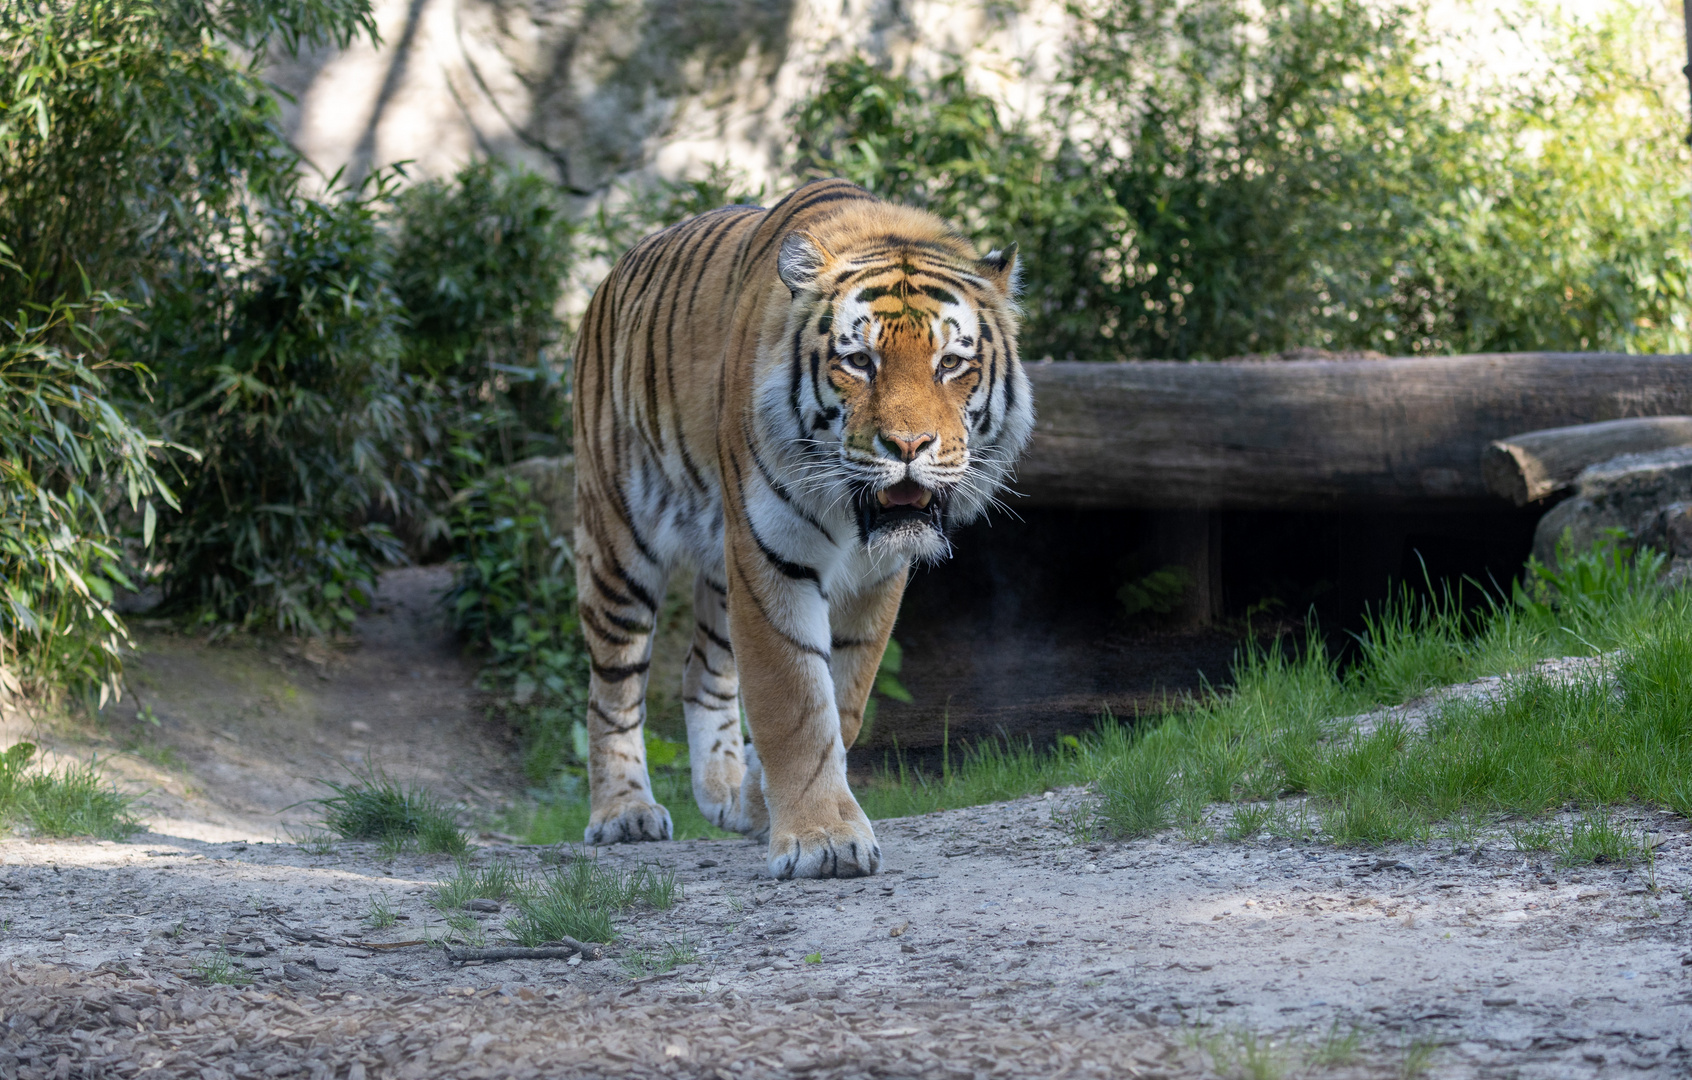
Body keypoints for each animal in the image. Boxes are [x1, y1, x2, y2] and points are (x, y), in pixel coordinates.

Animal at [575, 177, 1035, 880]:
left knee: (700, 667)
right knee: (614, 687)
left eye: (951, 364)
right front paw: (822, 839)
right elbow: (793, 698)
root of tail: (610, 276)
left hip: (719, 563)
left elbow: (840, 701)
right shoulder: (772, 558)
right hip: (619, 542)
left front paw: (773, 807)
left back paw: (728, 795)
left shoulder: (873, 580)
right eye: (860, 360)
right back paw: (624, 813)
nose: (909, 445)